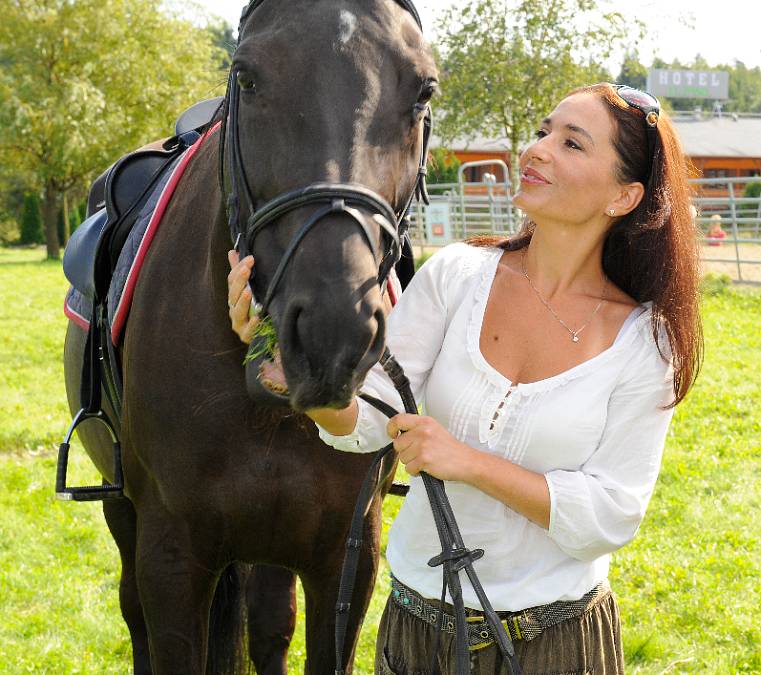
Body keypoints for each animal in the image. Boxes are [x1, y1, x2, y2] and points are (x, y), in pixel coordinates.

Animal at [62, 1, 436, 675]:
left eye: (424, 89)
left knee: (267, 624)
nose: (331, 332)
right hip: (121, 507)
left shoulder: (345, 557)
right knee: (133, 615)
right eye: (248, 77)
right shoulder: (171, 559)